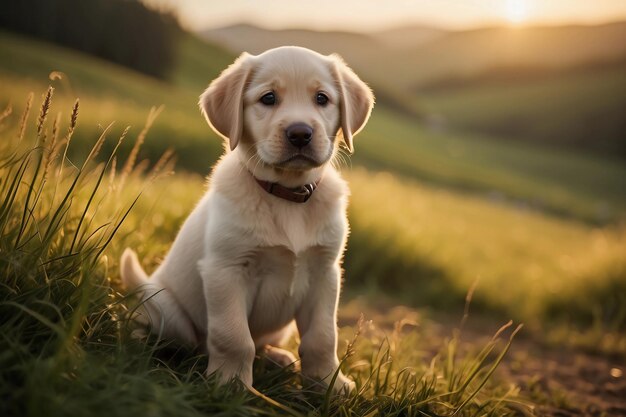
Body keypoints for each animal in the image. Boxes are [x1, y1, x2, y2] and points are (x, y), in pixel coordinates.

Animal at [119, 46, 370, 394]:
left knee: (262, 343)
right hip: (168, 309)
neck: (286, 194)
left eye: (322, 98)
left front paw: (328, 384)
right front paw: (231, 384)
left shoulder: (325, 272)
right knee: (173, 335)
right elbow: (234, 337)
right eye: (268, 98)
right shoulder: (226, 270)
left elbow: (322, 337)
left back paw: (279, 357)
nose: (300, 133)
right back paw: (141, 340)